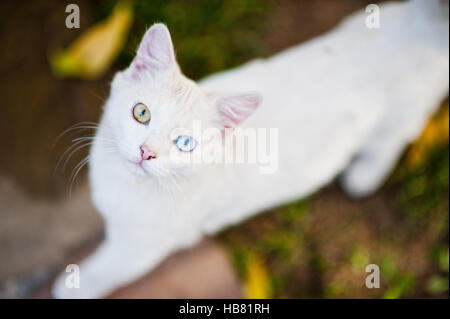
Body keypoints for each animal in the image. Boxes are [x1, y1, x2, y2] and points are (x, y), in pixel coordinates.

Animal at [51, 0, 446, 300]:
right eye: (142, 113)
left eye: (185, 144)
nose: (147, 151)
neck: (126, 186)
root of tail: (425, 20)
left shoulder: (140, 246)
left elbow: (107, 269)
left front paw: (74, 286)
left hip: (401, 116)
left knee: (395, 138)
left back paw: (365, 175)